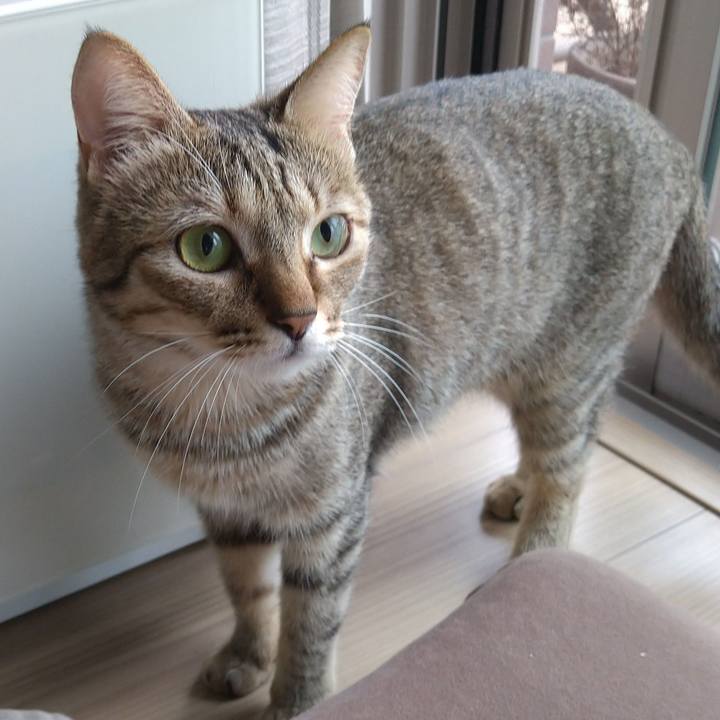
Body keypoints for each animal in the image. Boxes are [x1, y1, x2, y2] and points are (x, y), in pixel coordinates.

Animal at [71, 24, 720, 719]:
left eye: (328, 234)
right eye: (205, 247)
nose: (300, 319)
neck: (220, 415)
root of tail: (665, 136)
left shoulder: (331, 515)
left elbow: (311, 622)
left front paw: (296, 700)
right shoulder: (227, 514)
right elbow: (247, 590)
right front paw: (248, 652)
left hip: (570, 364)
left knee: (568, 472)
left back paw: (530, 559)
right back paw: (519, 489)